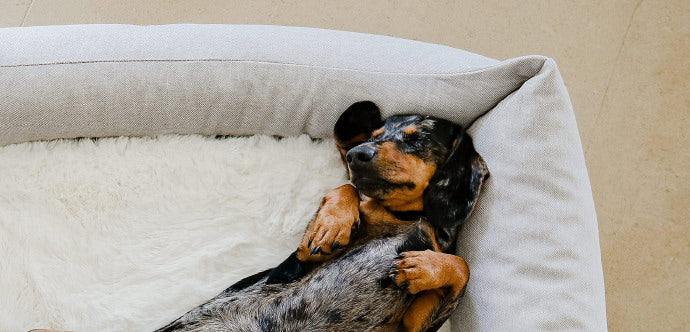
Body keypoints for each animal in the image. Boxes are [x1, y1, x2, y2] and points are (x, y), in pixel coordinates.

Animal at [156, 102, 490, 332]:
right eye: (375, 135)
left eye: (417, 139)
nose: (357, 153)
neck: (404, 217)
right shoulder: (296, 262)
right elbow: (347, 188)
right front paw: (331, 225)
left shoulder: (413, 325)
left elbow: (462, 266)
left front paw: (421, 267)